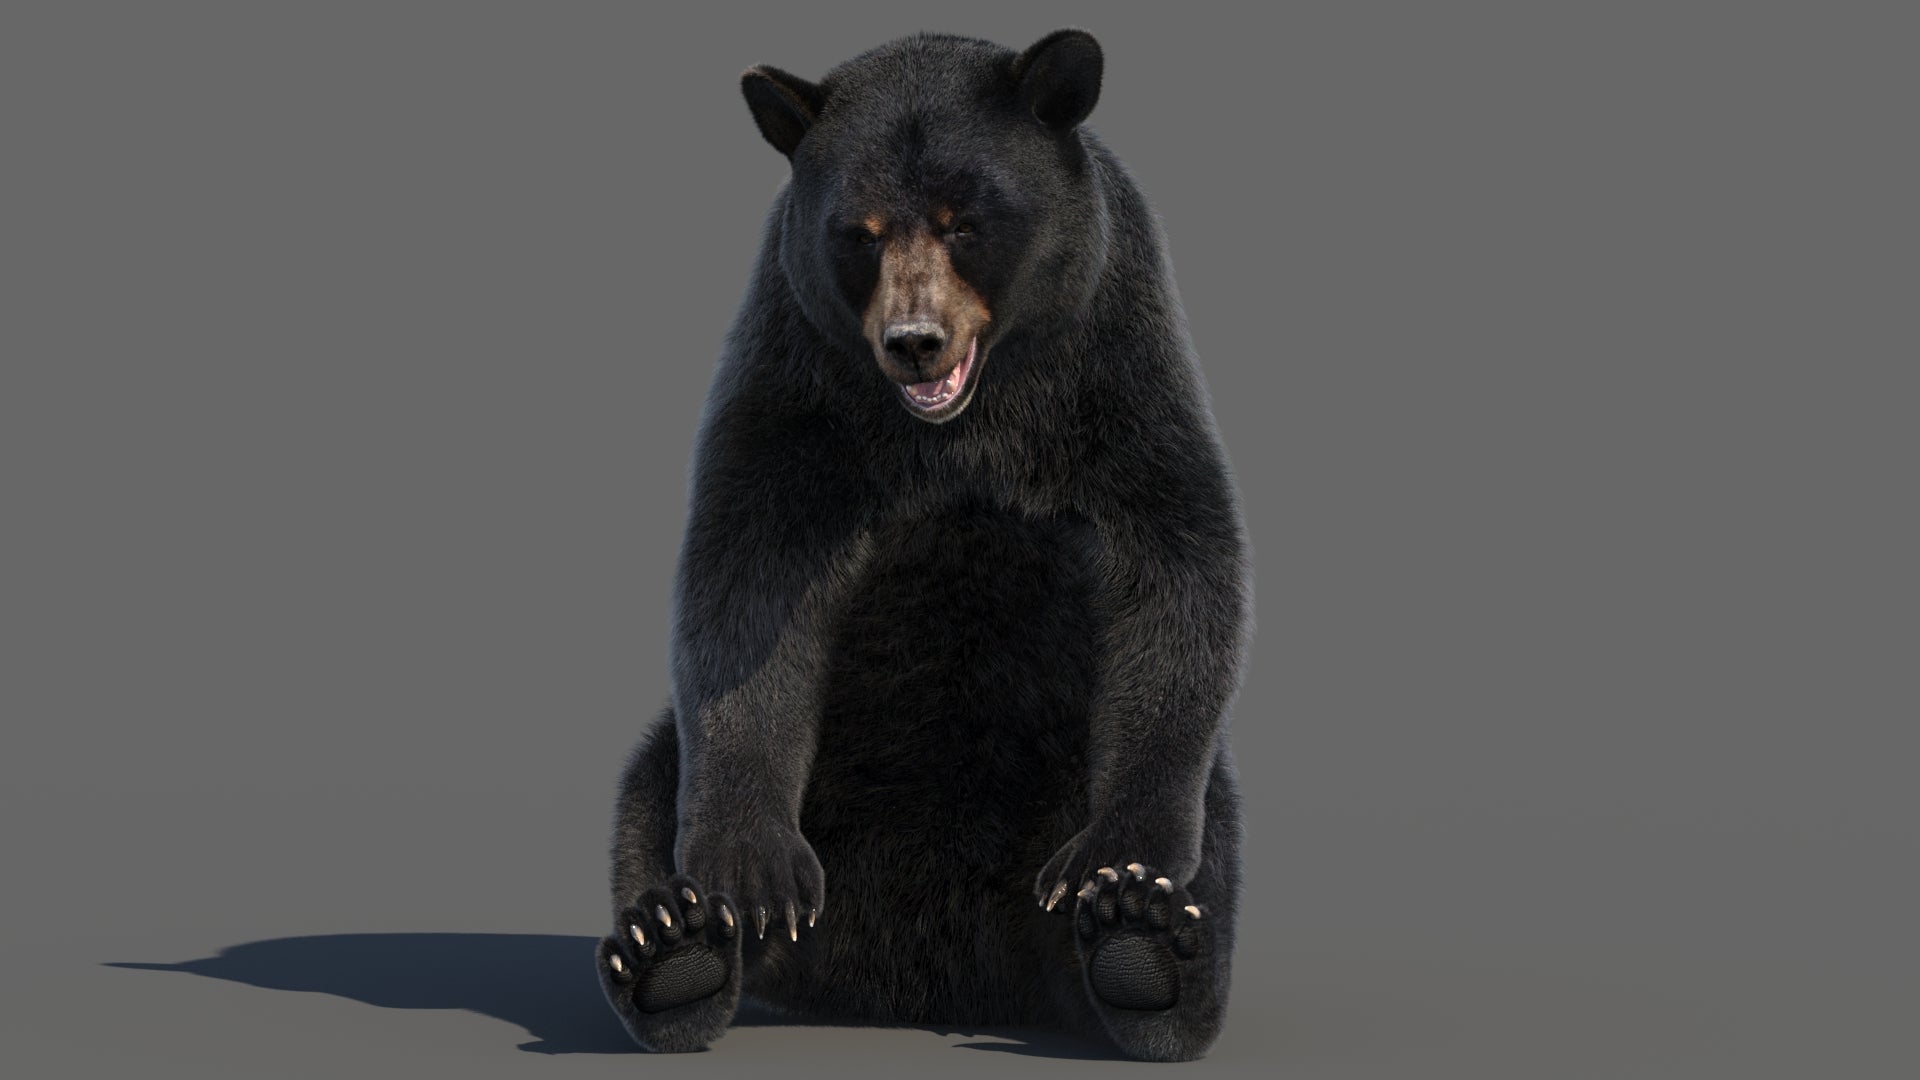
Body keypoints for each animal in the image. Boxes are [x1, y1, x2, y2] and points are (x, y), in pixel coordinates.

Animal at [595, 28, 1252, 1062]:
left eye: (966, 221)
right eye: (858, 233)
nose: (914, 341)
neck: (961, 427)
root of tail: (918, 981)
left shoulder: (1113, 374)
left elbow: (1175, 560)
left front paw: (1118, 866)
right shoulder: (803, 390)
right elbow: (746, 583)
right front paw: (751, 872)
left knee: (1209, 830)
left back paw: (1142, 951)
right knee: (648, 788)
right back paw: (675, 946)